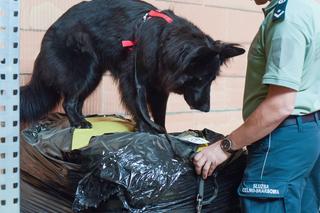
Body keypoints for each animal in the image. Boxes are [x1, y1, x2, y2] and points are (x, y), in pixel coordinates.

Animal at [20, 0, 245, 132]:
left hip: (94, 76)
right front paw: (147, 129)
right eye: (199, 79)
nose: (206, 109)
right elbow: (139, 106)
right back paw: (78, 122)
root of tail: (48, 32)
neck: (162, 41)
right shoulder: (133, 80)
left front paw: (162, 132)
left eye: (211, 80)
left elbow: (159, 113)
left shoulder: (158, 88)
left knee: (77, 101)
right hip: (86, 71)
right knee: (69, 101)